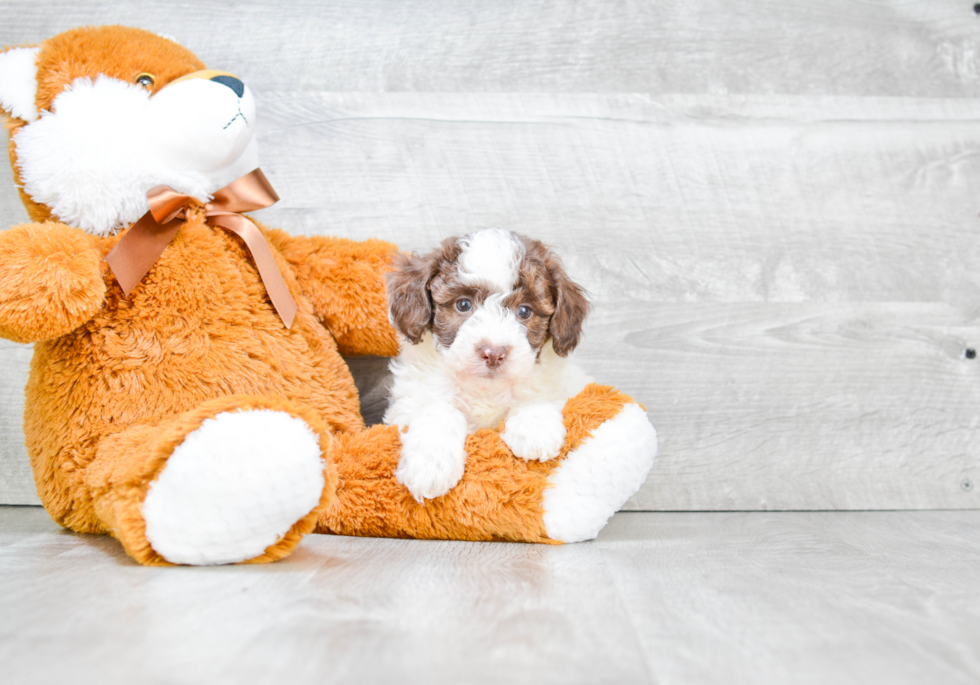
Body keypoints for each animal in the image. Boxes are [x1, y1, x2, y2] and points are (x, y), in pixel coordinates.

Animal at [386, 227, 592, 500]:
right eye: (463, 304)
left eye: (524, 311)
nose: (493, 353)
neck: (485, 390)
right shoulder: (408, 404)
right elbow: (441, 409)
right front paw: (431, 466)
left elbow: (533, 392)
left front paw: (535, 425)